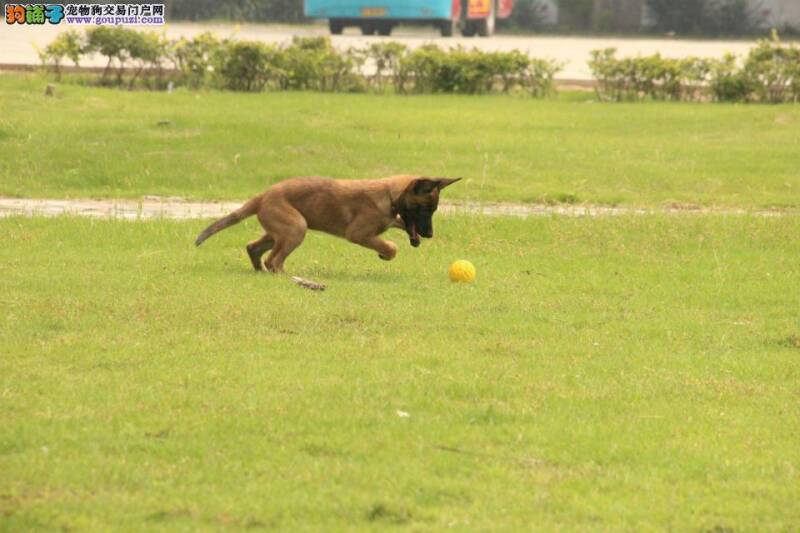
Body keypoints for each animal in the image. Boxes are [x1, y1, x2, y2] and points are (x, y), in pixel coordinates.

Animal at [195, 176, 460, 288]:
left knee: (254, 247)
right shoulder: (358, 233)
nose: (429, 235)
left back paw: (260, 270)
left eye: (434, 210)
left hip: (279, 231)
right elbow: (391, 247)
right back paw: (289, 277)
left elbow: (395, 225)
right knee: (274, 260)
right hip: (296, 229)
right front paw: (385, 253)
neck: (389, 194)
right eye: (424, 209)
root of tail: (262, 197)